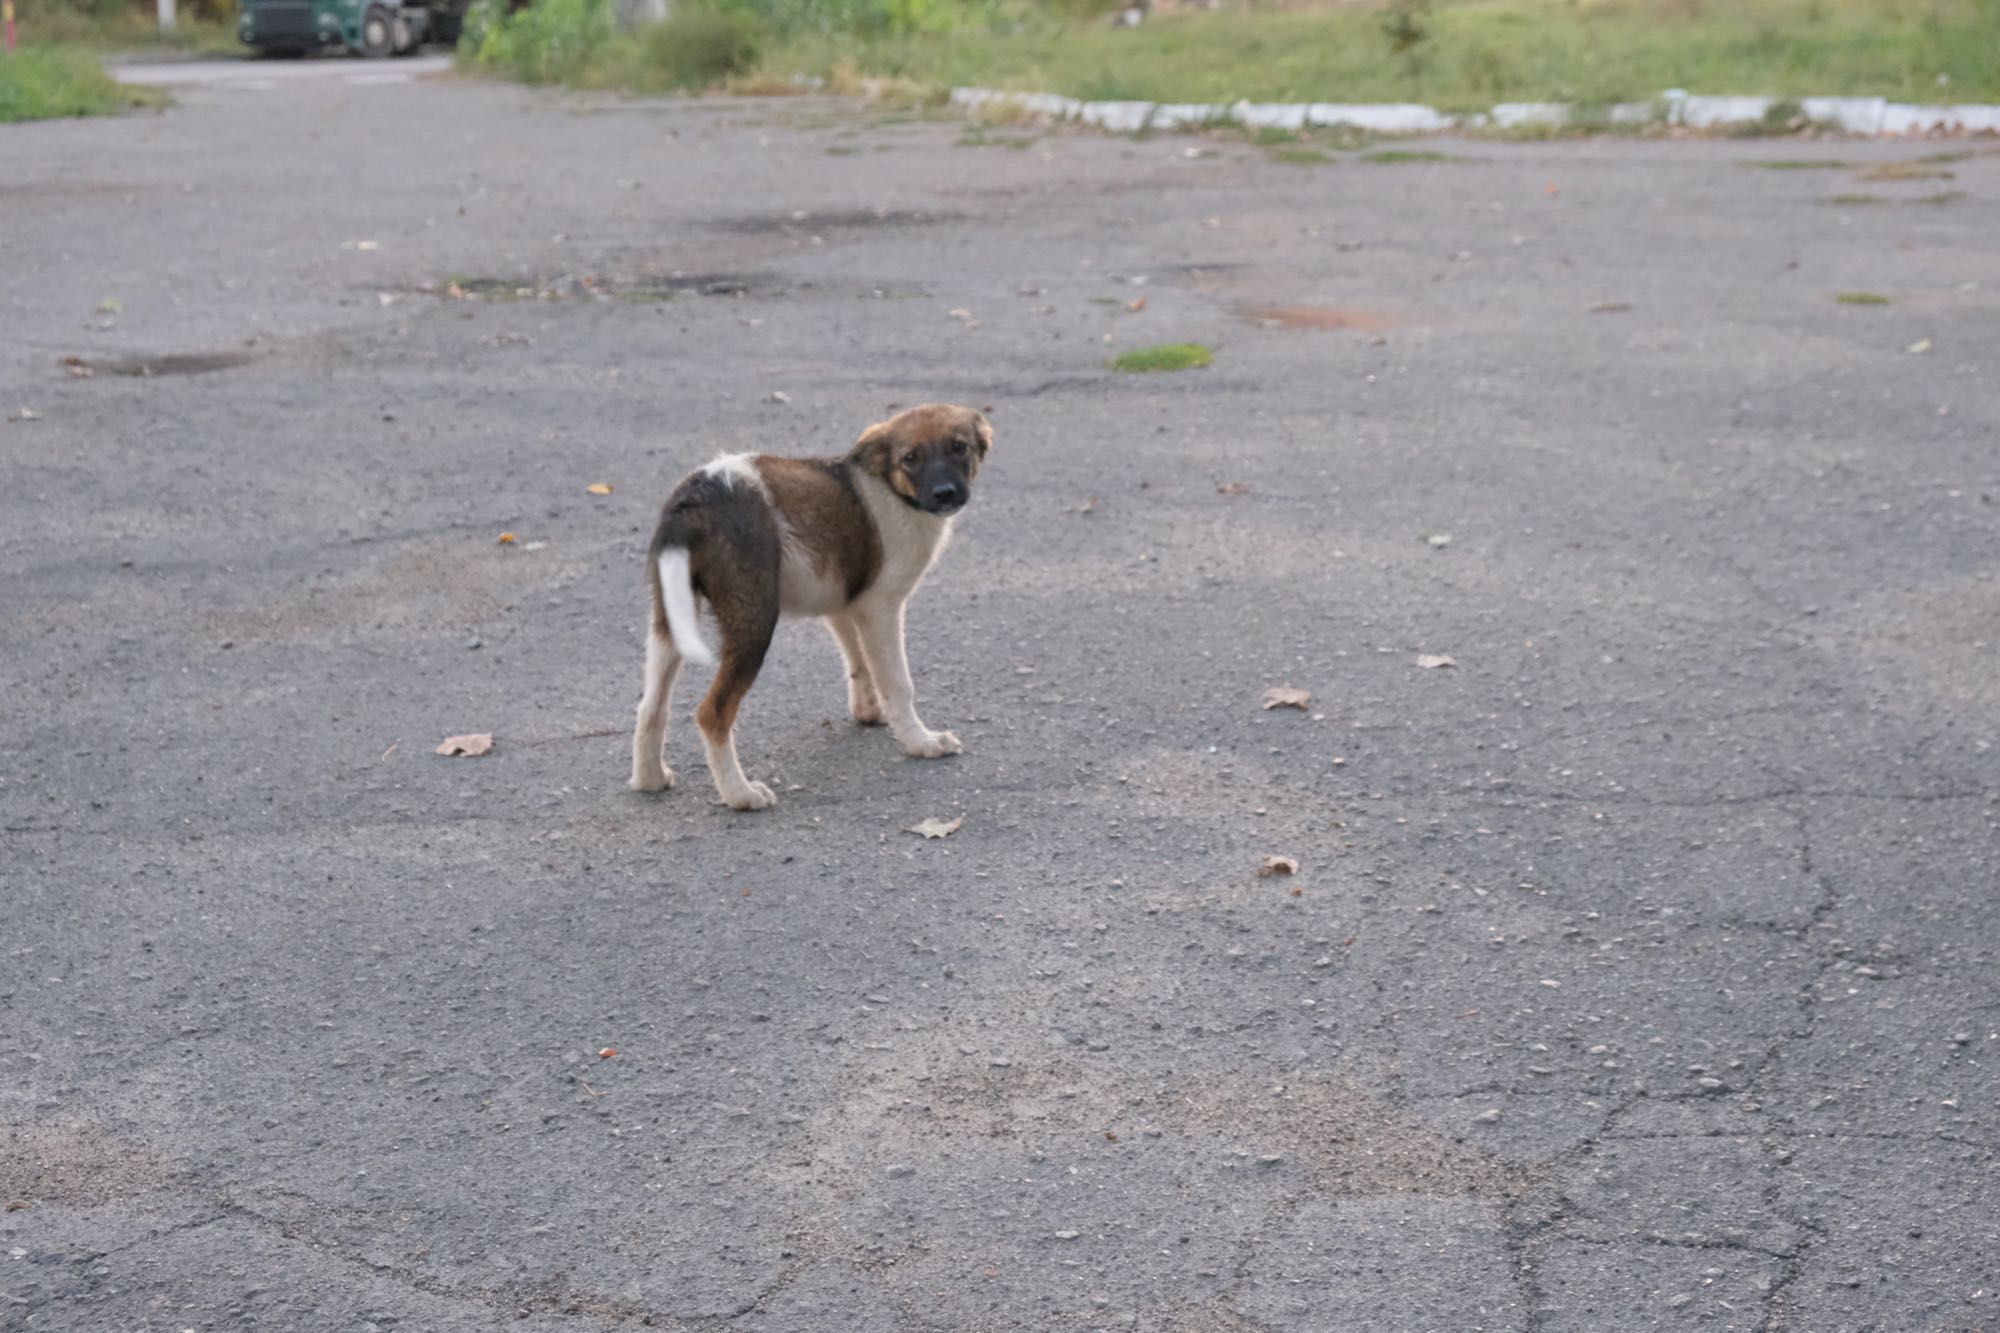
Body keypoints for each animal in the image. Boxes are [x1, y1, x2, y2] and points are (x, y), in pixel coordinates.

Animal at [632, 400, 992, 804]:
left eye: (959, 447)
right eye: (910, 458)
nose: (945, 493)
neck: (890, 487)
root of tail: (693, 497)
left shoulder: (846, 603)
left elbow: (859, 662)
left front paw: (870, 711)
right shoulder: (881, 607)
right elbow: (898, 682)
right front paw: (921, 741)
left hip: (668, 618)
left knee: (651, 705)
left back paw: (649, 778)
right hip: (754, 619)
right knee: (713, 712)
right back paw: (741, 794)